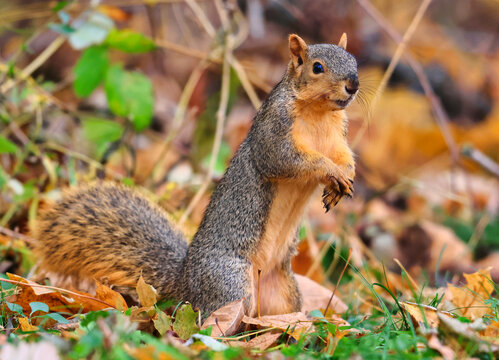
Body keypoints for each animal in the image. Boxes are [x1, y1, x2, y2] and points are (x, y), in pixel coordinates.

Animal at [34, 34, 360, 318]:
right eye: (317, 67)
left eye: (354, 61)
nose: (353, 85)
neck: (318, 115)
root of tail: (186, 282)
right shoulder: (274, 131)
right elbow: (286, 160)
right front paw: (330, 171)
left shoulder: (338, 136)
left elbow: (345, 156)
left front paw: (344, 177)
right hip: (231, 282)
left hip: (282, 290)